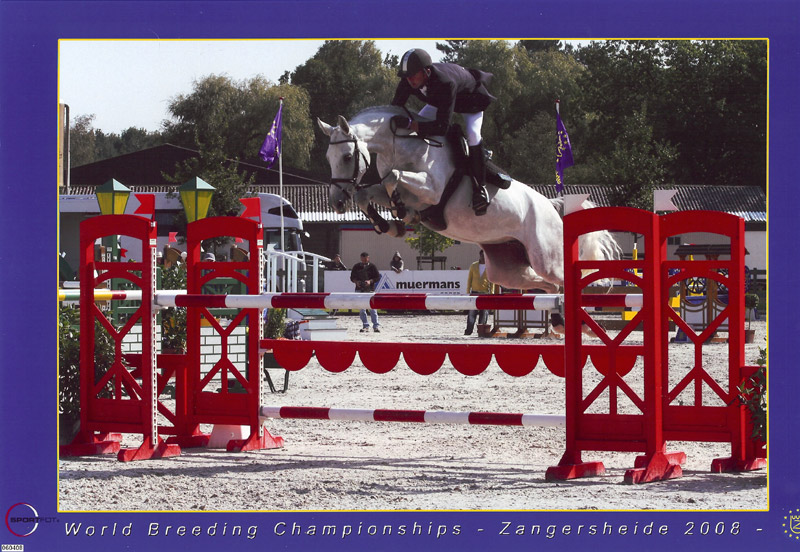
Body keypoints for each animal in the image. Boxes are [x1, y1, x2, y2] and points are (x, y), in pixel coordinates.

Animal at [316, 105, 621, 296]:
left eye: (347, 157)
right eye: (328, 158)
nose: (337, 203)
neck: (401, 145)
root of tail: (553, 206)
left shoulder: (431, 190)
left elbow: (393, 179)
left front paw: (400, 214)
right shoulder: (395, 191)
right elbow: (367, 192)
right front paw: (388, 224)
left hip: (547, 257)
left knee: (568, 277)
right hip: (506, 267)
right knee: (544, 284)